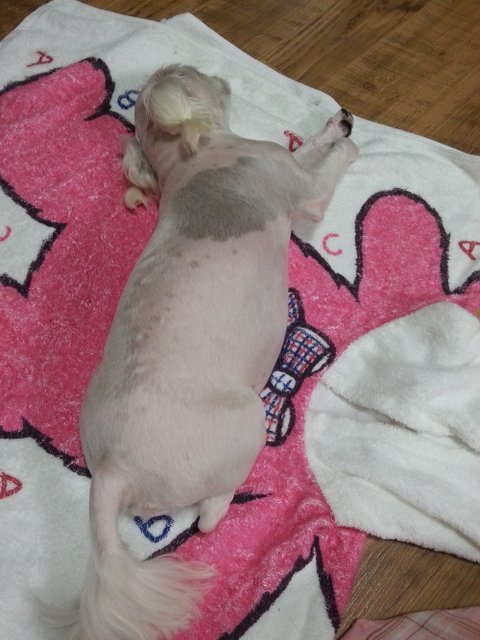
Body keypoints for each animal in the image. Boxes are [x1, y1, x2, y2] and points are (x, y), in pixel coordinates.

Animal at [68, 65, 358, 640]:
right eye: (197, 75)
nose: (222, 77)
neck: (190, 157)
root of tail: (112, 469)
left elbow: (306, 147)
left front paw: (331, 126)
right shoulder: (298, 184)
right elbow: (319, 172)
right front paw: (347, 143)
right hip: (243, 426)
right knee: (209, 515)